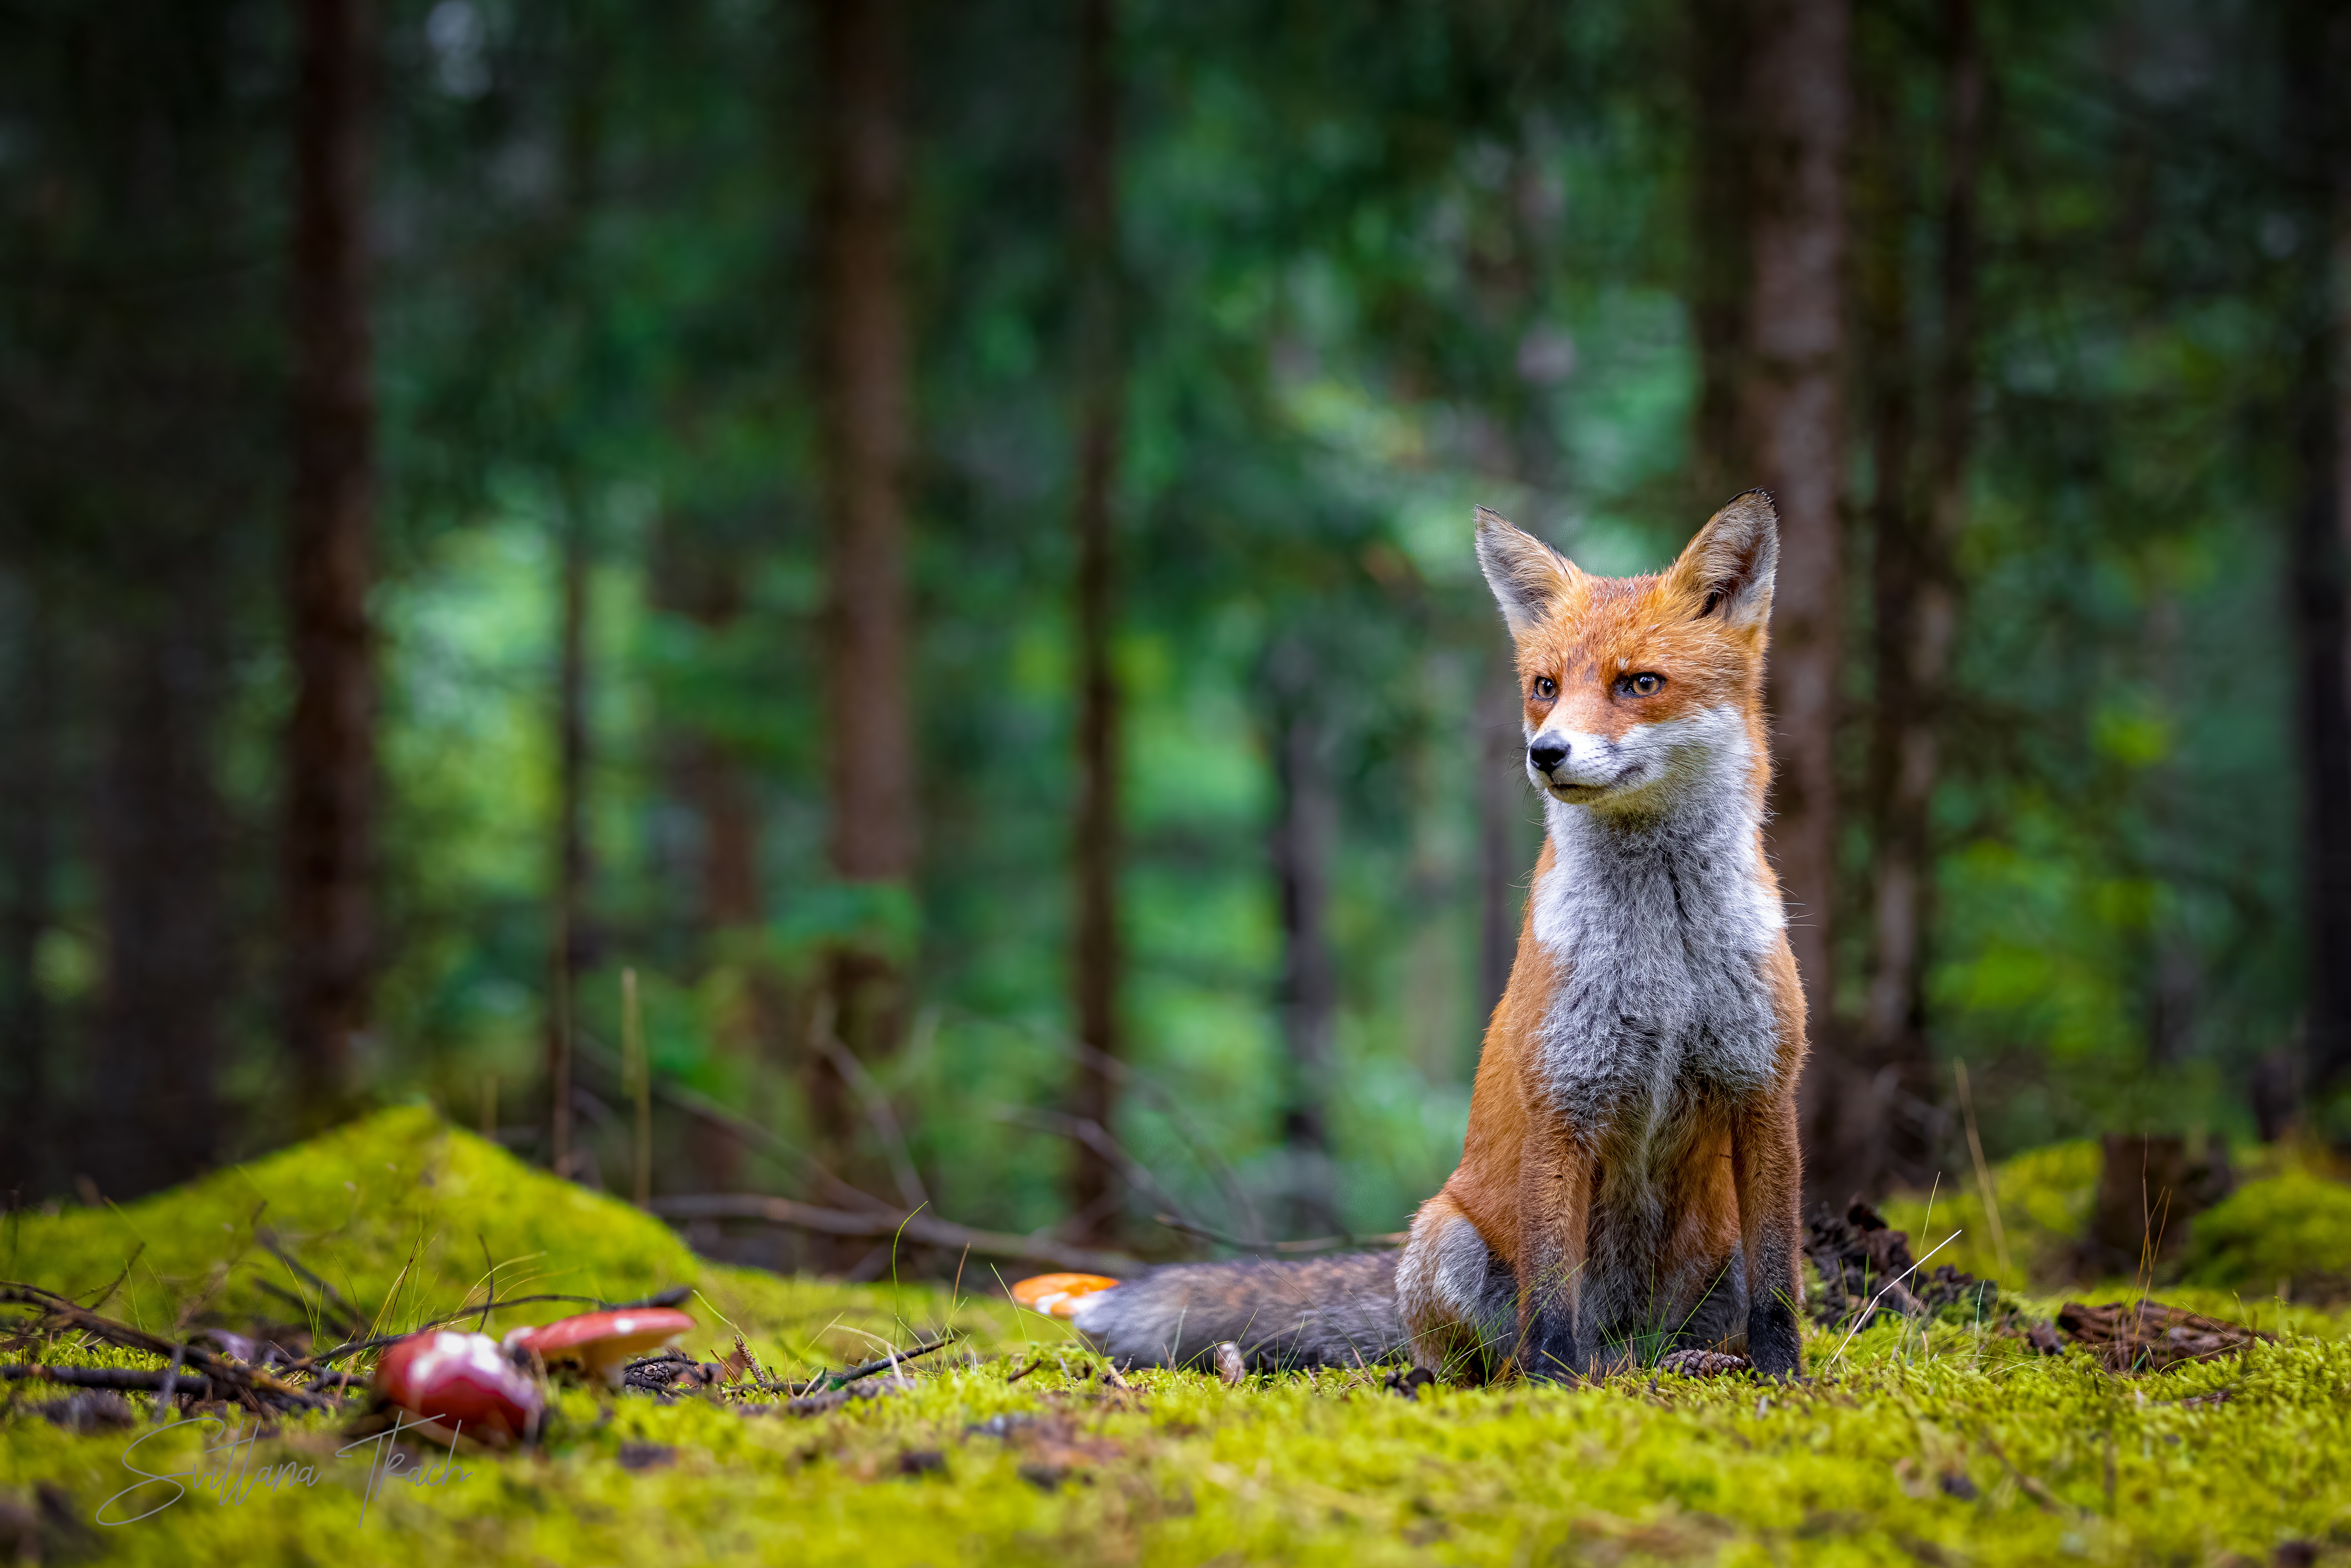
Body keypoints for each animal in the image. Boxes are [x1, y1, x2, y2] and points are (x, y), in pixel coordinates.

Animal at [1020, 496, 1806, 1382]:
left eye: (1640, 683)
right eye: (1545, 687)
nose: (1546, 753)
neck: (1664, 953)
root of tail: (1626, 1346)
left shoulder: (1766, 1089)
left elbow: (1778, 1287)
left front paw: (1786, 1375)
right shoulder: (1564, 1098)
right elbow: (1551, 1298)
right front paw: (1553, 1390)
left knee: (1700, 1325)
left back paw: (1697, 1362)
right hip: (1444, 1235)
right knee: (1493, 1351)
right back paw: (1499, 1376)